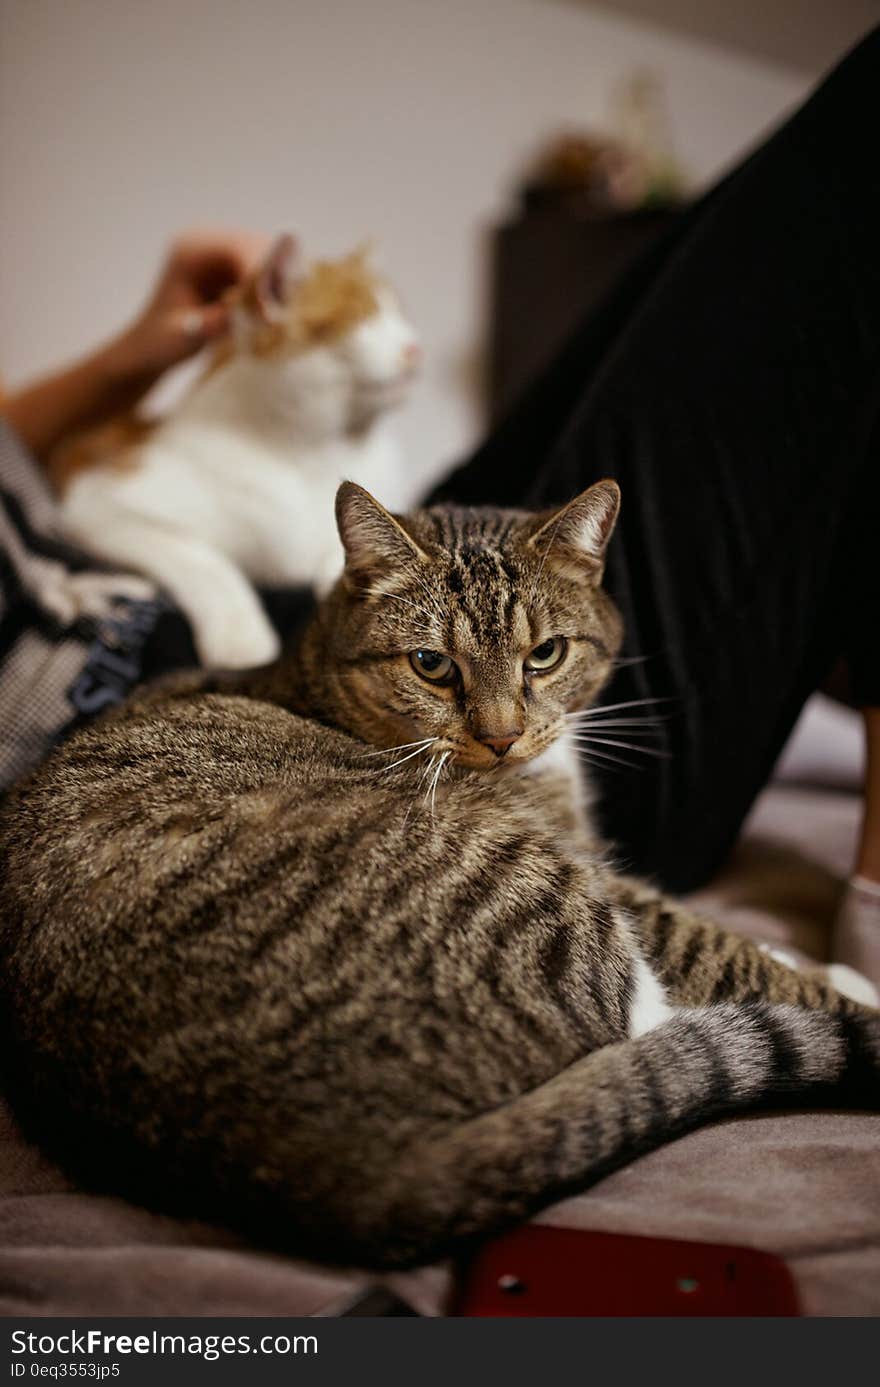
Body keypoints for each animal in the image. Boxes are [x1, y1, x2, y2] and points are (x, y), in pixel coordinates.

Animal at [0, 479, 871, 1270]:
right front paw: (847, 987)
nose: (502, 736)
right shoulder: (602, 880)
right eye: (430, 664)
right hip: (530, 891)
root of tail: (319, 1165)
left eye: (545, 654)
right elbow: (717, 944)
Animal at [51, 235, 421, 668]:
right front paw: (241, 638)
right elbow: (204, 561)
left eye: (400, 316)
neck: (311, 453)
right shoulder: (96, 506)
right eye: (363, 316)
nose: (415, 349)